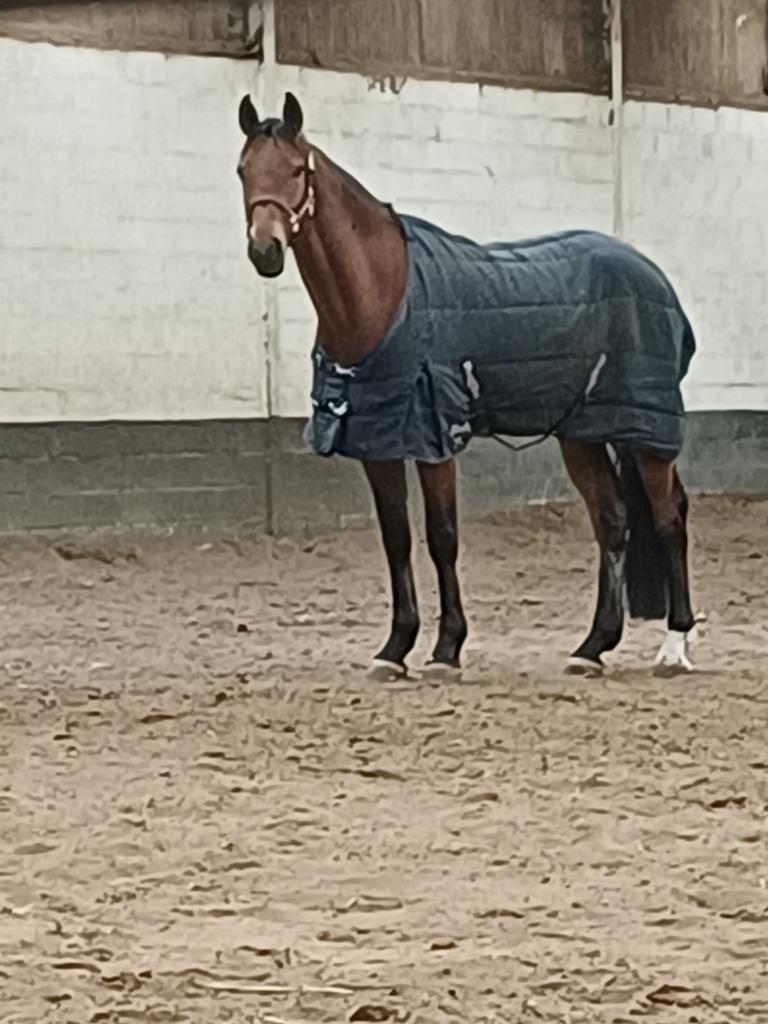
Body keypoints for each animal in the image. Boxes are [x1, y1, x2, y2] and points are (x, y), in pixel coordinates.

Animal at [235, 91, 697, 680]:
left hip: (643, 433)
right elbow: (396, 540)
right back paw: (592, 647)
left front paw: (445, 650)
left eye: (296, 170)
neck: (382, 292)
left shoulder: (434, 439)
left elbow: (442, 539)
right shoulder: (378, 442)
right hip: (585, 436)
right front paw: (394, 649)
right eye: (244, 170)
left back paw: (674, 647)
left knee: (668, 519)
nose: (265, 251)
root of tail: (651, 273)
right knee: (613, 523)